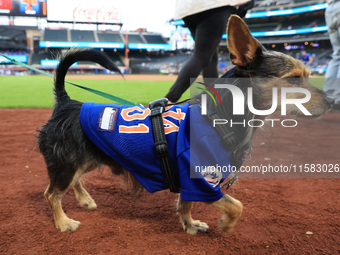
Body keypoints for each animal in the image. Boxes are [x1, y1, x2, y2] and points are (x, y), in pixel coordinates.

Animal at [37, 15, 332, 235]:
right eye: (293, 79)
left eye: (307, 75)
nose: (332, 101)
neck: (220, 116)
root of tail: (66, 103)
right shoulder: (201, 178)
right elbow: (236, 205)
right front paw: (226, 225)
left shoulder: (192, 178)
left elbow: (186, 204)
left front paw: (190, 224)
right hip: (66, 162)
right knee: (51, 194)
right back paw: (62, 221)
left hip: (86, 157)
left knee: (74, 181)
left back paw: (84, 200)